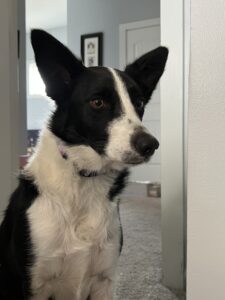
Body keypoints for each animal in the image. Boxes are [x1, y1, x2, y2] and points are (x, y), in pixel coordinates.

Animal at [0, 29, 168, 298]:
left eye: (140, 103)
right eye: (98, 102)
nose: (150, 145)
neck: (83, 178)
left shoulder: (104, 281)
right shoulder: (34, 285)